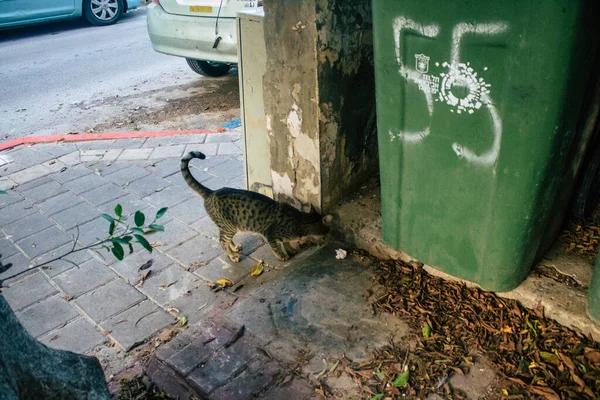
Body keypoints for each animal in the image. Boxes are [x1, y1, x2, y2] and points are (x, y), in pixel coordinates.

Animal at [182, 151, 332, 262]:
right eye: (327, 229)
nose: (330, 233)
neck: (299, 221)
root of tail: (211, 192)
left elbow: (286, 243)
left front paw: (290, 249)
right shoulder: (270, 235)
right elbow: (277, 247)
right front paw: (282, 256)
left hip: (228, 227)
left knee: (225, 239)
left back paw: (234, 248)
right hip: (228, 226)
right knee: (222, 241)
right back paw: (232, 256)